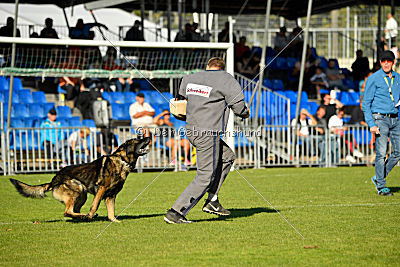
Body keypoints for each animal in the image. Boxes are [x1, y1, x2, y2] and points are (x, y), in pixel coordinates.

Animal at [9, 137, 150, 223]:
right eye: (137, 140)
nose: (148, 137)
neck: (122, 161)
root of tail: (54, 179)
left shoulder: (111, 196)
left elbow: (111, 212)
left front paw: (114, 221)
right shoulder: (101, 190)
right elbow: (95, 205)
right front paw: (91, 215)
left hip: (82, 195)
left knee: (72, 211)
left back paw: (81, 217)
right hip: (77, 188)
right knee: (67, 212)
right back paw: (85, 216)